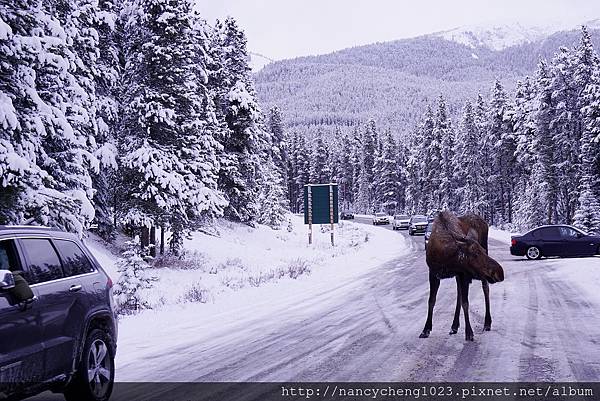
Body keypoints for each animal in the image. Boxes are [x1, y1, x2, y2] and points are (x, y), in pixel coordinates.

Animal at [420, 211, 504, 340]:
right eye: (475, 254)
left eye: (483, 251)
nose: (500, 272)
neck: (446, 259)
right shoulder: (434, 273)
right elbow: (431, 301)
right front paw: (426, 329)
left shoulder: (463, 274)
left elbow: (466, 303)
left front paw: (469, 332)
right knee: (459, 294)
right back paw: (454, 326)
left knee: (485, 288)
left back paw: (487, 323)